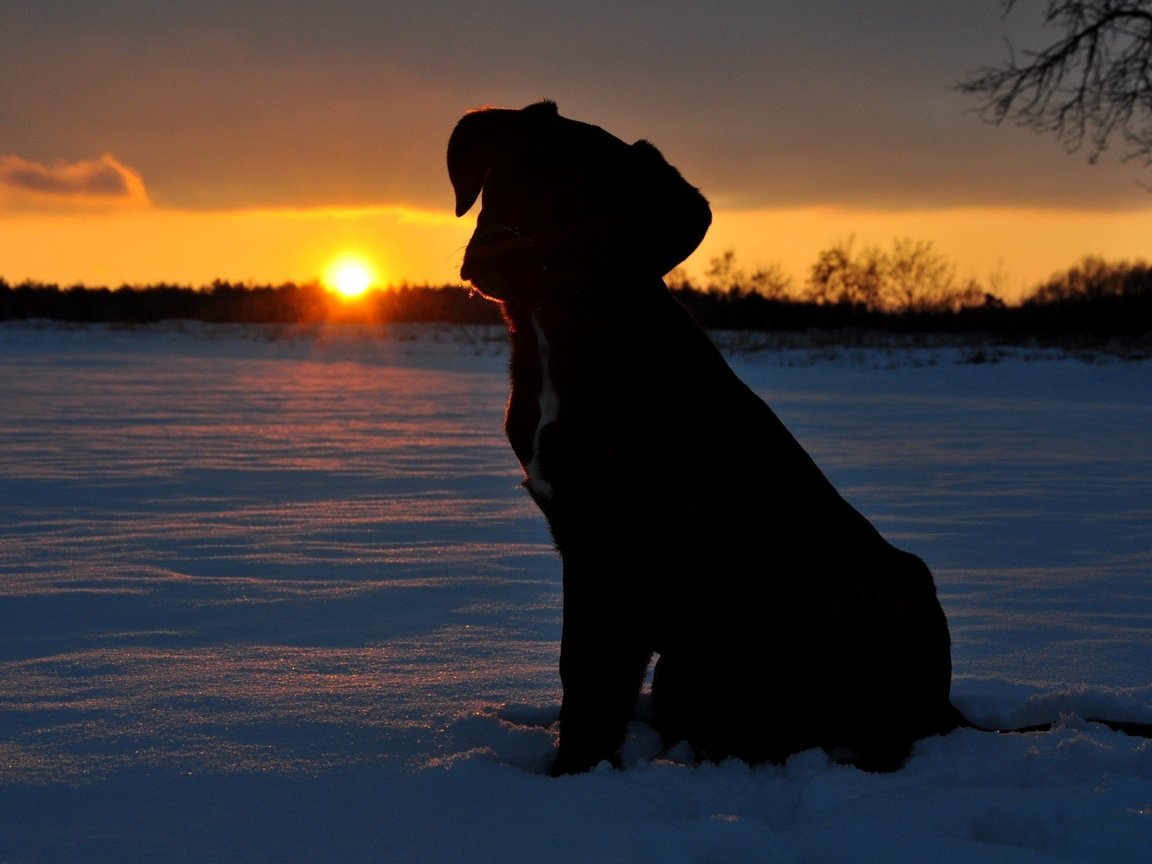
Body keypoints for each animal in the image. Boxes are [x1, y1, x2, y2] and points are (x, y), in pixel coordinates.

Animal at [444, 101, 1147, 778]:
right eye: (506, 175)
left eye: (589, 202)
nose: (498, 253)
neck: (563, 336)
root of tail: (943, 709)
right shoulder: (581, 542)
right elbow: (578, 669)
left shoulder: (620, 550)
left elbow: (595, 682)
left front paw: (572, 777)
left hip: (882, 594)